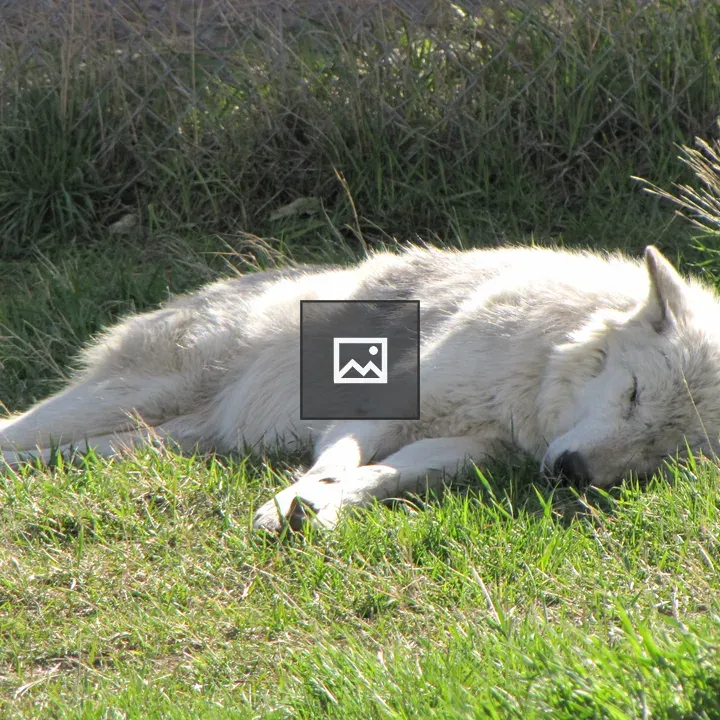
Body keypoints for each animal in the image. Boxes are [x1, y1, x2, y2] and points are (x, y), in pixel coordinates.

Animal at [1, 244, 719, 531]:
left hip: (158, 441)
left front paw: (324, 511)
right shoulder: (388, 407)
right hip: (123, 401)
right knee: (14, 425)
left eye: (660, 452)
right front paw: (287, 506)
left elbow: (380, 476)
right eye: (632, 394)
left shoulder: (468, 446)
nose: (571, 473)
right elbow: (335, 461)